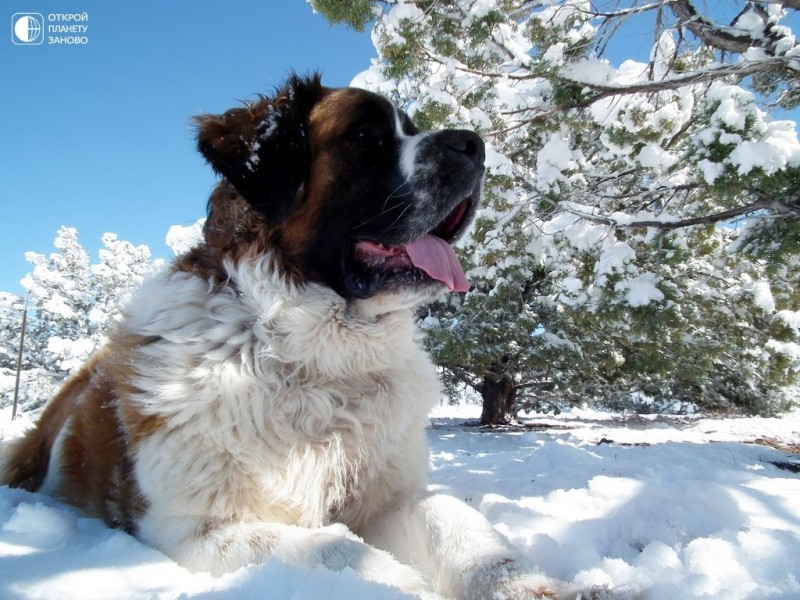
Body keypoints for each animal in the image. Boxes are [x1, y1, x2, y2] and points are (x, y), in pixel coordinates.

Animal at [0, 75, 564, 600]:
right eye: (365, 135)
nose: (473, 144)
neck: (309, 356)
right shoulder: (194, 529)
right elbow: (336, 549)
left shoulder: (389, 496)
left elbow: (453, 520)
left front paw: (520, 583)